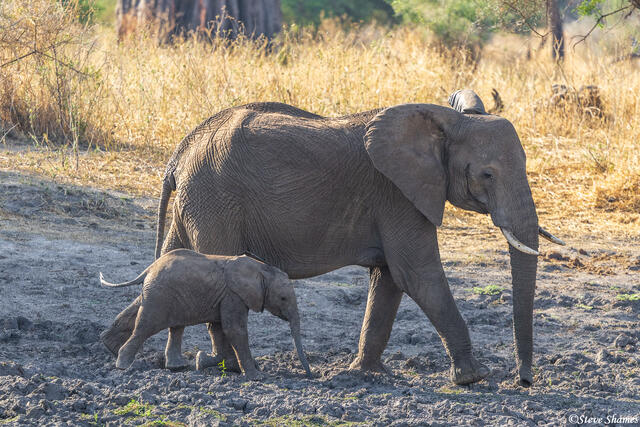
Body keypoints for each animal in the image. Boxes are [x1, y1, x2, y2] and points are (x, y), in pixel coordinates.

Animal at [100, 249, 312, 379]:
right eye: (283, 298)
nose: (311, 375)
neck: (262, 269)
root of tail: (149, 268)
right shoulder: (233, 295)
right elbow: (234, 330)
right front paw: (256, 376)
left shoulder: (225, 297)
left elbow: (218, 328)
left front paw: (207, 361)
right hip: (159, 295)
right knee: (146, 327)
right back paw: (123, 366)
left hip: (165, 294)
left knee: (172, 326)